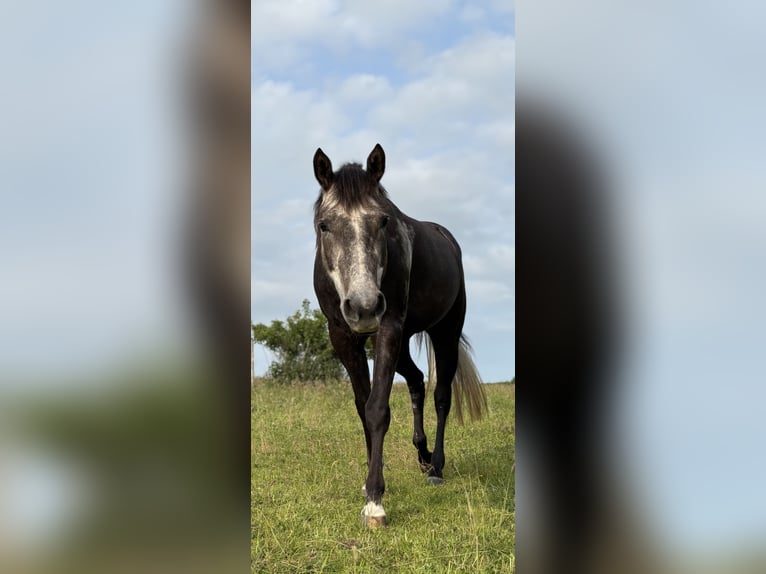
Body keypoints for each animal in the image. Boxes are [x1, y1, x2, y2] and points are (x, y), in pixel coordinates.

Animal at [312, 144, 488, 527]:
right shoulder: (343, 336)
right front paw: (369, 484)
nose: (364, 306)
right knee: (418, 380)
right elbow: (362, 407)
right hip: (401, 343)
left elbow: (378, 408)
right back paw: (422, 454)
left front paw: (376, 502)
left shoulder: (388, 327)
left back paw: (435, 467)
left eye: (382, 221)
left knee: (441, 395)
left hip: (444, 331)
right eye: (324, 225)